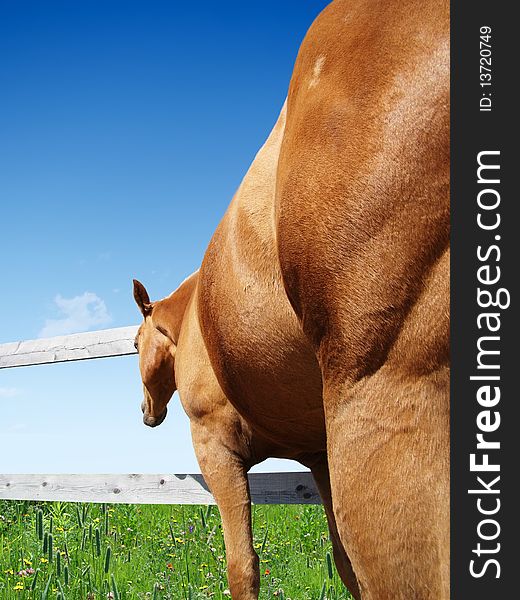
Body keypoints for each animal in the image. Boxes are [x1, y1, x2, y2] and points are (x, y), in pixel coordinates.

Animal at [197, 1, 448, 600]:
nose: (146, 413)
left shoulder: (217, 447)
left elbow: (243, 565)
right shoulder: (318, 455)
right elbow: (341, 563)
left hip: (389, 404)